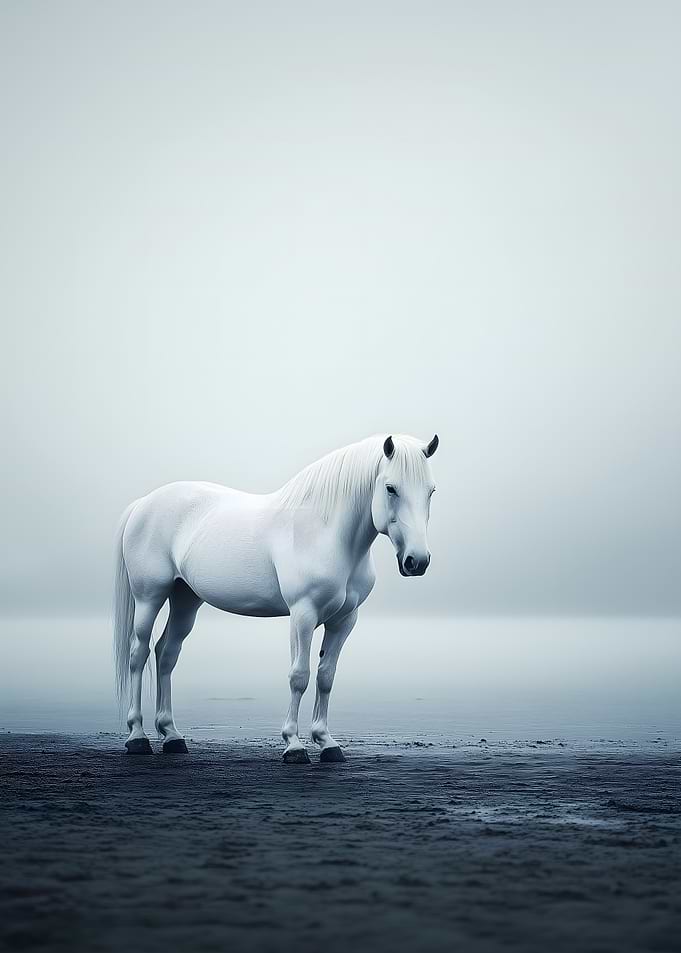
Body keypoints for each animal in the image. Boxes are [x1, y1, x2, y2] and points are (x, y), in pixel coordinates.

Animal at [113, 432, 439, 762]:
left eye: (431, 491)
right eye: (391, 488)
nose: (417, 561)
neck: (326, 533)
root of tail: (143, 504)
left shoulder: (344, 619)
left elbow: (326, 676)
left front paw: (326, 742)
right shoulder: (303, 614)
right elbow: (299, 676)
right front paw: (294, 744)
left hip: (185, 599)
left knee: (166, 654)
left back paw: (172, 736)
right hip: (149, 596)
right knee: (138, 654)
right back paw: (137, 736)